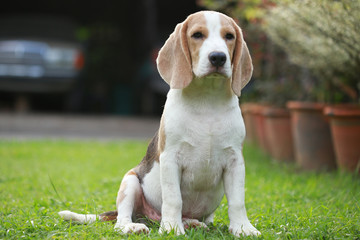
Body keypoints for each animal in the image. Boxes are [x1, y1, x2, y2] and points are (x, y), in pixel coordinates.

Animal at [59, 10, 262, 236]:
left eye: (229, 36)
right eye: (197, 35)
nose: (218, 57)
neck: (207, 99)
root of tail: (149, 218)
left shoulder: (235, 161)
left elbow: (237, 201)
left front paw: (243, 228)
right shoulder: (171, 158)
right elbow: (174, 199)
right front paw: (172, 228)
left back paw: (191, 223)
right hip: (130, 181)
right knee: (122, 219)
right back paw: (134, 226)